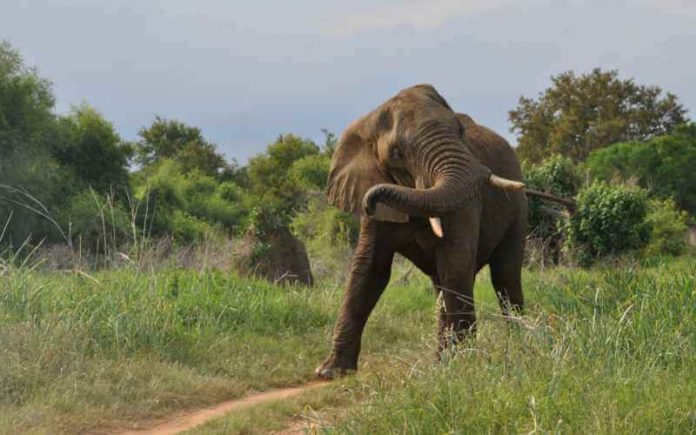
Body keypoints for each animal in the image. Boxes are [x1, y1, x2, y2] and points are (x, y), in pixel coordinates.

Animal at [315, 84, 533, 379]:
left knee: (504, 275)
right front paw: (330, 372)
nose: (370, 200)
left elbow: (456, 262)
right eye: (397, 153)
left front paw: (463, 364)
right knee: (443, 285)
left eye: (461, 132)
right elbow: (368, 270)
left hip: (518, 211)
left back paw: (518, 345)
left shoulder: (467, 203)